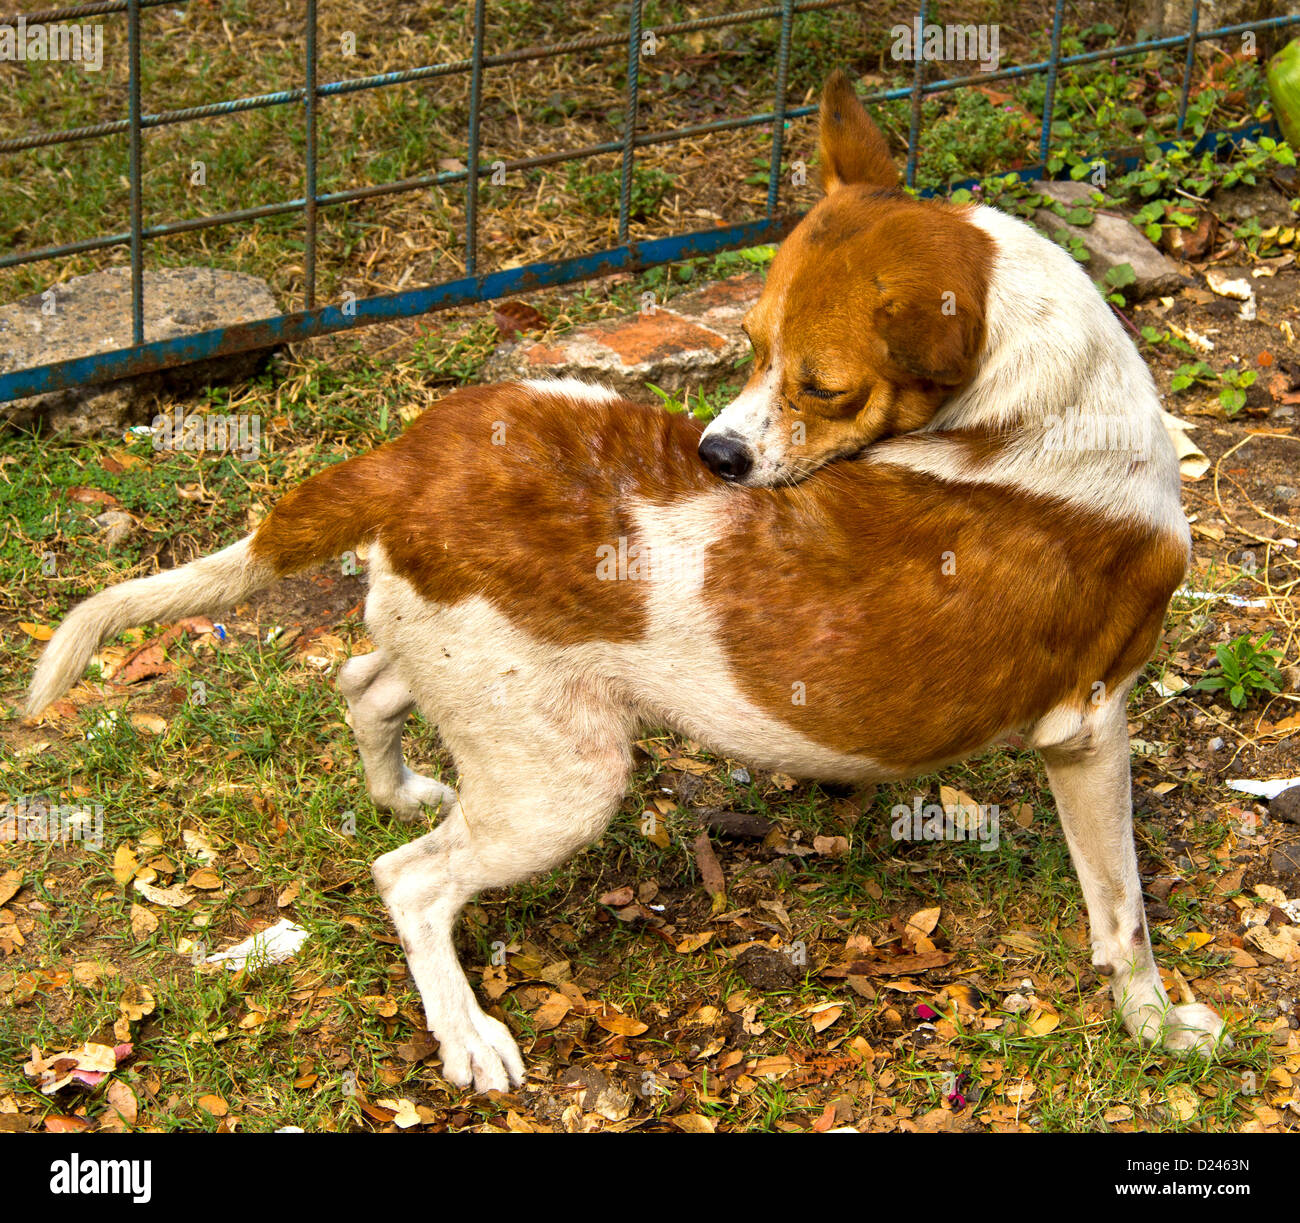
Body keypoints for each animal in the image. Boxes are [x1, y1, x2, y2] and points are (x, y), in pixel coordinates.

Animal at [27, 74, 1227, 1086]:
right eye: (751, 343)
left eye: (822, 386)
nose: (717, 456)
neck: (1040, 410)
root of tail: (409, 458)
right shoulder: (1089, 726)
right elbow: (1122, 913)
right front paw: (1156, 1024)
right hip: (564, 775)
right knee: (409, 878)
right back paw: (466, 1033)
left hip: (486, 670)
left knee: (365, 686)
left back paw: (401, 784)